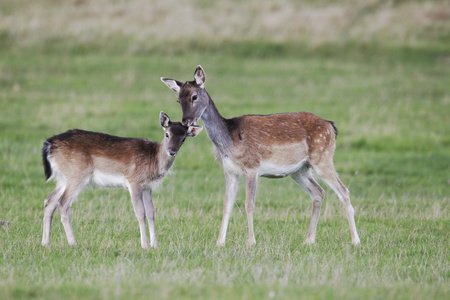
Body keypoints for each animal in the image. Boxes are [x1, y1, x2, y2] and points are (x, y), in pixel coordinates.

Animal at [40, 112, 202, 248]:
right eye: (167, 134)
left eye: (183, 139)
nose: (172, 151)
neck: (154, 161)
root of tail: (49, 144)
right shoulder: (134, 181)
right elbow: (140, 212)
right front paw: (145, 245)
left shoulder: (147, 187)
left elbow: (151, 212)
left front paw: (155, 244)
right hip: (77, 174)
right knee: (62, 202)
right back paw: (73, 242)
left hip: (63, 178)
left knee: (49, 200)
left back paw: (45, 243)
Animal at [162, 66, 362, 246]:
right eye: (178, 100)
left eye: (194, 97)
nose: (186, 122)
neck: (229, 141)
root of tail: (332, 127)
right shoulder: (229, 171)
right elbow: (227, 205)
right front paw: (219, 242)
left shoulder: (252, 166)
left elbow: (249, 204)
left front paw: (251, 241)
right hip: (299, 170)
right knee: (319, 192)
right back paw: (309, 240)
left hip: (323, 157)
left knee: (344, 191)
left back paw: (355, 241)